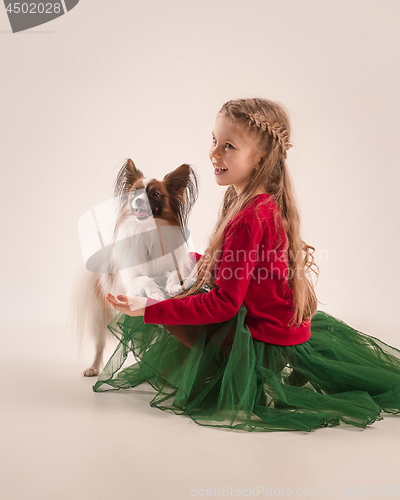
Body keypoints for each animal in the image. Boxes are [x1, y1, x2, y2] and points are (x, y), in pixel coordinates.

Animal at [74, 159, 199, 376]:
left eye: (155, 194)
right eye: (134, 193)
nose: (139, 201)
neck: (146, 229)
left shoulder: (170, 265)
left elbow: (173, 275)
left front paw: (173, 286)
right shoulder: (130, 278)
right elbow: (144, 279)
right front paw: (156, 293)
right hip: (100, 315)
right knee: (99, 343)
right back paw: (94, 368)